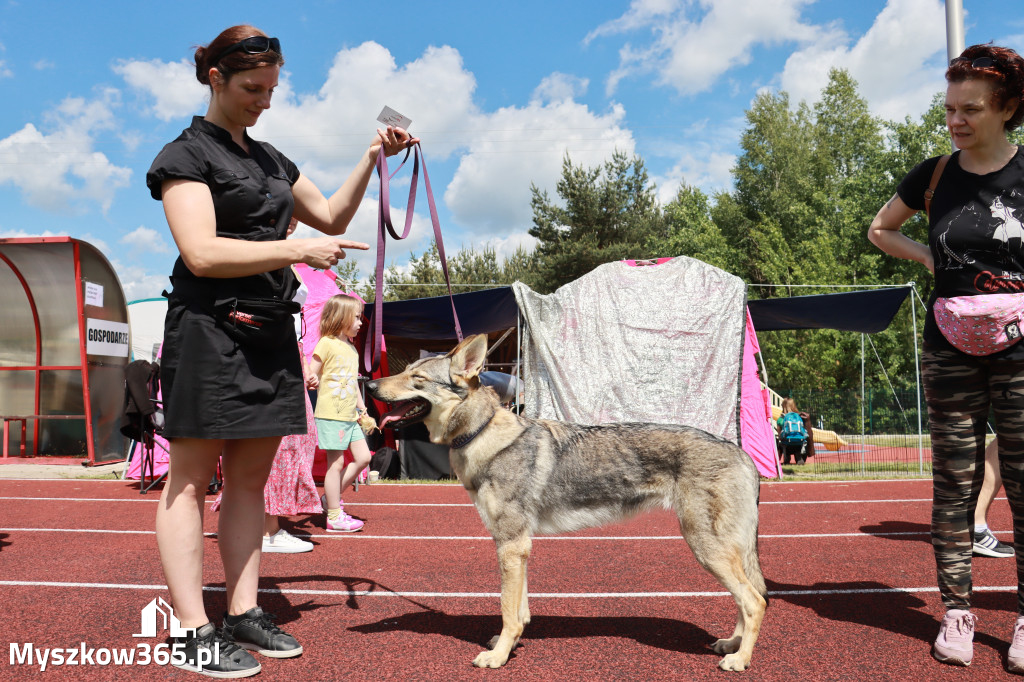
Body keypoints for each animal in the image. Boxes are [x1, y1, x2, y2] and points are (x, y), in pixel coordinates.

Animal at [364, 333, 765, 667]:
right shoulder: (517, 547)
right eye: (404, 371)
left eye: (417, 379)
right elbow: (520, 610)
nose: (367, 383)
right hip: (721, 550)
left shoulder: (512, 544)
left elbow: (507, 609)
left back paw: (739, 660)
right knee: (748, 597)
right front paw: (509, 645)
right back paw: (730, 644)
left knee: (756, 601)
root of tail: (743, 454)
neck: (481, 434)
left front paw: (497, 657)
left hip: (705, 547)